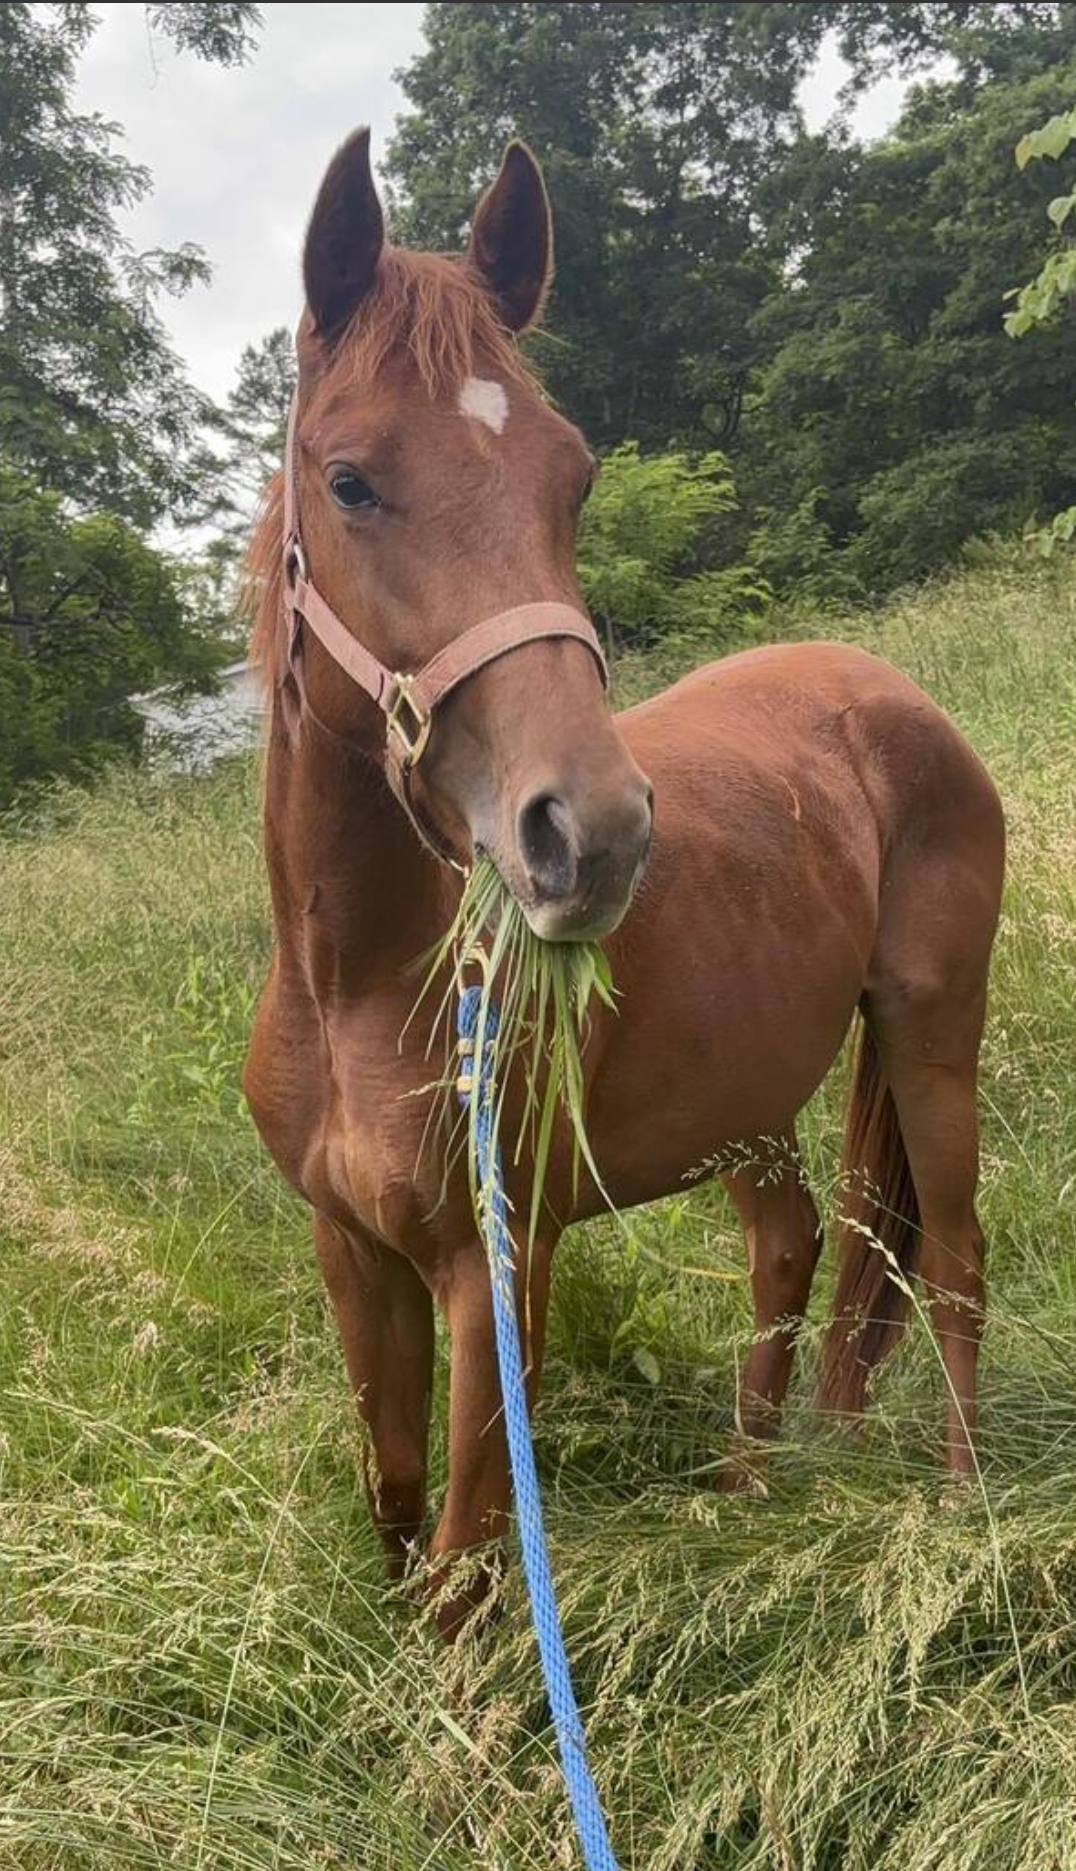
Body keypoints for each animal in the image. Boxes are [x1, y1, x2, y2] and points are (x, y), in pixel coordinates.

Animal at [244, 129, 1005, 1637]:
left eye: (574, 477)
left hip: (930, 1038)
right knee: (793, 1245)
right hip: (748, 1098)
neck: (354, 983)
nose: (589, 836)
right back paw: (750, 1490)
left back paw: (959, 1508)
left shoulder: (498, 1262)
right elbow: (396, 1500)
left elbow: (468, 1559)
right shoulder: (349, 1250)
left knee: (948, 1260)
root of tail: (891, 694)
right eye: (348, 480)